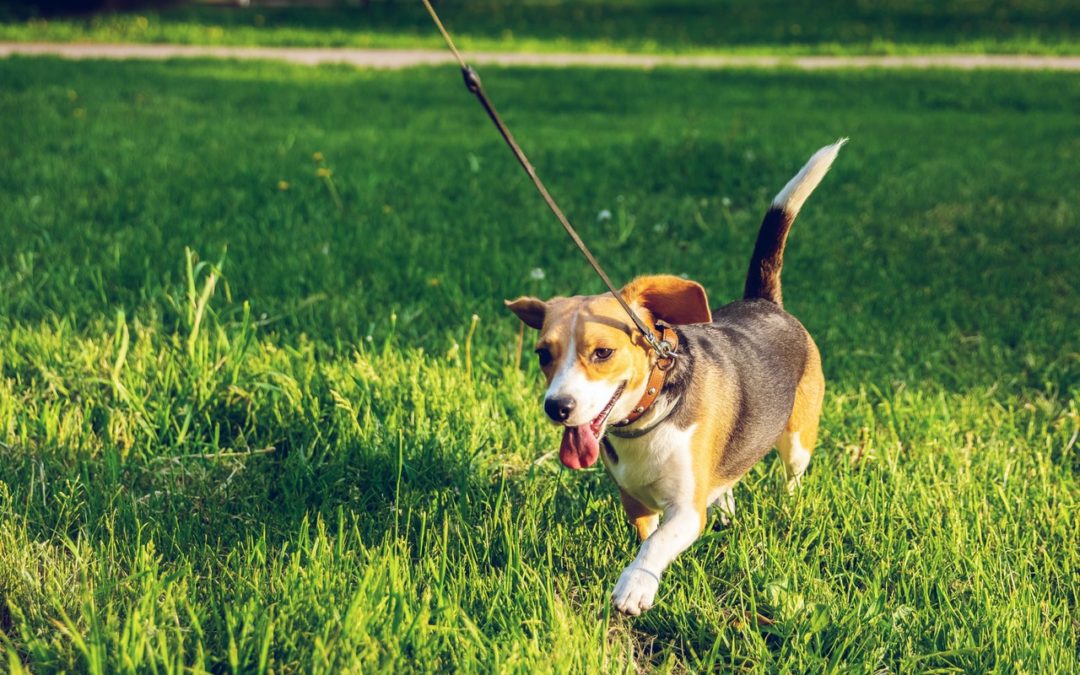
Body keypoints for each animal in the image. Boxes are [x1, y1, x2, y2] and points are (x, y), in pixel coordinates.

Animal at [505, 139, 842, 613]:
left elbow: (658, 543)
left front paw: (635, 584)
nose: (557, 407)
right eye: (542, 355)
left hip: (798, 440)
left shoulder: (685, 509)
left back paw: (788, 508)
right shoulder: (634, 500)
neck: (647, 417)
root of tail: (763, 302)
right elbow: (647, 534)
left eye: (603, 352)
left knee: (791, 476)